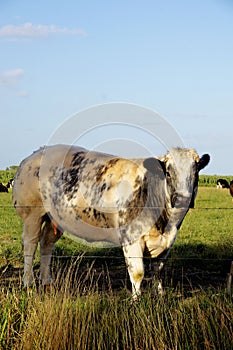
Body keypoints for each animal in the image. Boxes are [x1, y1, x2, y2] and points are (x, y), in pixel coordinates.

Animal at [12, 144, 209, 300]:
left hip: (54, 219)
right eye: (168, 172)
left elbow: (158, 270)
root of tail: (34, 155)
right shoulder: (131, 237)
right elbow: (138, 272)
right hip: (32, 214)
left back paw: (47, 283)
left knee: (46, 244)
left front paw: (160, 296)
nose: (182, 198)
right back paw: (28, 284)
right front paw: (136, 301)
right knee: (30, 245)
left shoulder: (167, 241)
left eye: (196, 171)